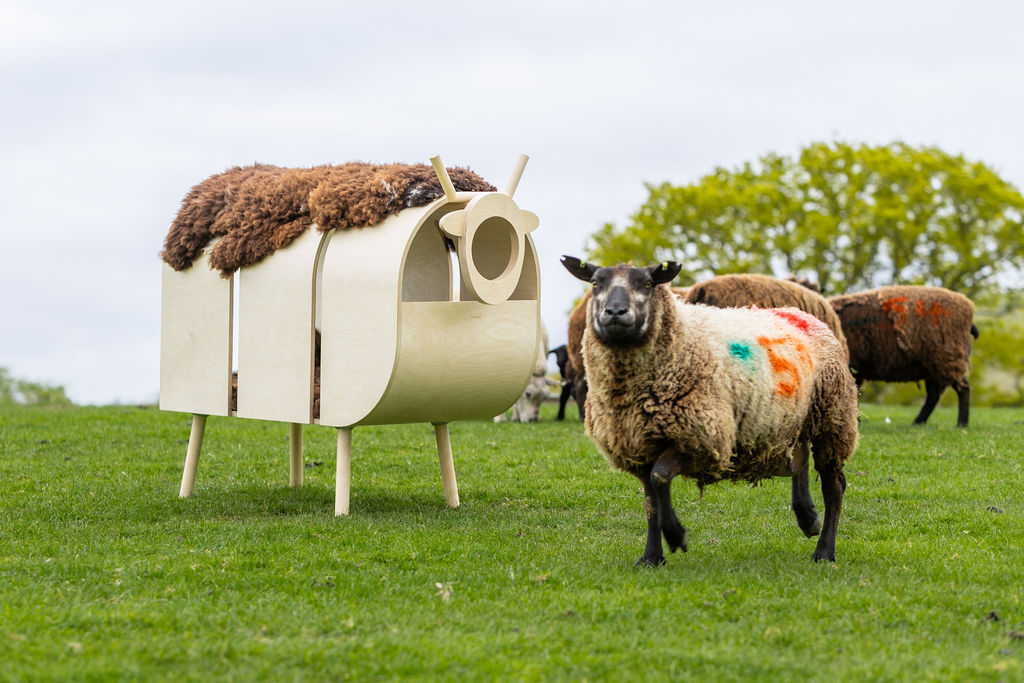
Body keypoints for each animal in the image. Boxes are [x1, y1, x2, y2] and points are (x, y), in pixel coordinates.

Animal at [561, 256, 859, 566]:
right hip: (790, 421)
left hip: (832, 418)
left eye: (647, 283)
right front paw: (651, 557)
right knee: (799, 459)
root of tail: (802, 314)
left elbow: (660, 477)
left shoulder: (701, 438)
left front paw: (676, 535)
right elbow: (651, 501)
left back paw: (824, 550)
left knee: (834, 486)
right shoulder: (639, 447)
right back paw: (808, 518)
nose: (615, 312)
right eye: (596, 283)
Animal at [829, 285, 979, 428]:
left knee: (963, 389)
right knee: (934, 395)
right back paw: (918, 422)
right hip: (933, 366)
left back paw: (961, 423)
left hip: (948, 358)